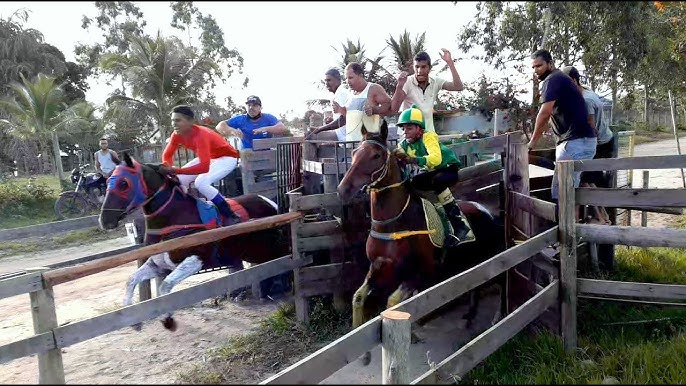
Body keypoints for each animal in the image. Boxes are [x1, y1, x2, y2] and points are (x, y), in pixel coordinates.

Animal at [99, 154, 290, 332]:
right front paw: (135, 322)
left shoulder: (196, 260)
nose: (104, 220)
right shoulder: (158, 265)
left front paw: (168, 319)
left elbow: (165, 286)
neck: (173, 220)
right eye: (107, 180)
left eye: (124, 184)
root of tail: (271, 203)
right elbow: (131, 280)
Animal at [336, 123, 508, 332]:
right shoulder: (378, 268)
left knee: (502, 279)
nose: (343, 190)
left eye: (376, 155)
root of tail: (489, 212)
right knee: (475, 282)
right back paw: (470, 316)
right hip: (472, 259)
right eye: (353, 153)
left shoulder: (420, 273)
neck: (393, 224)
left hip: (492, 256)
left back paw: (498, 317)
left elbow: (392, 303)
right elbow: (358, 297)